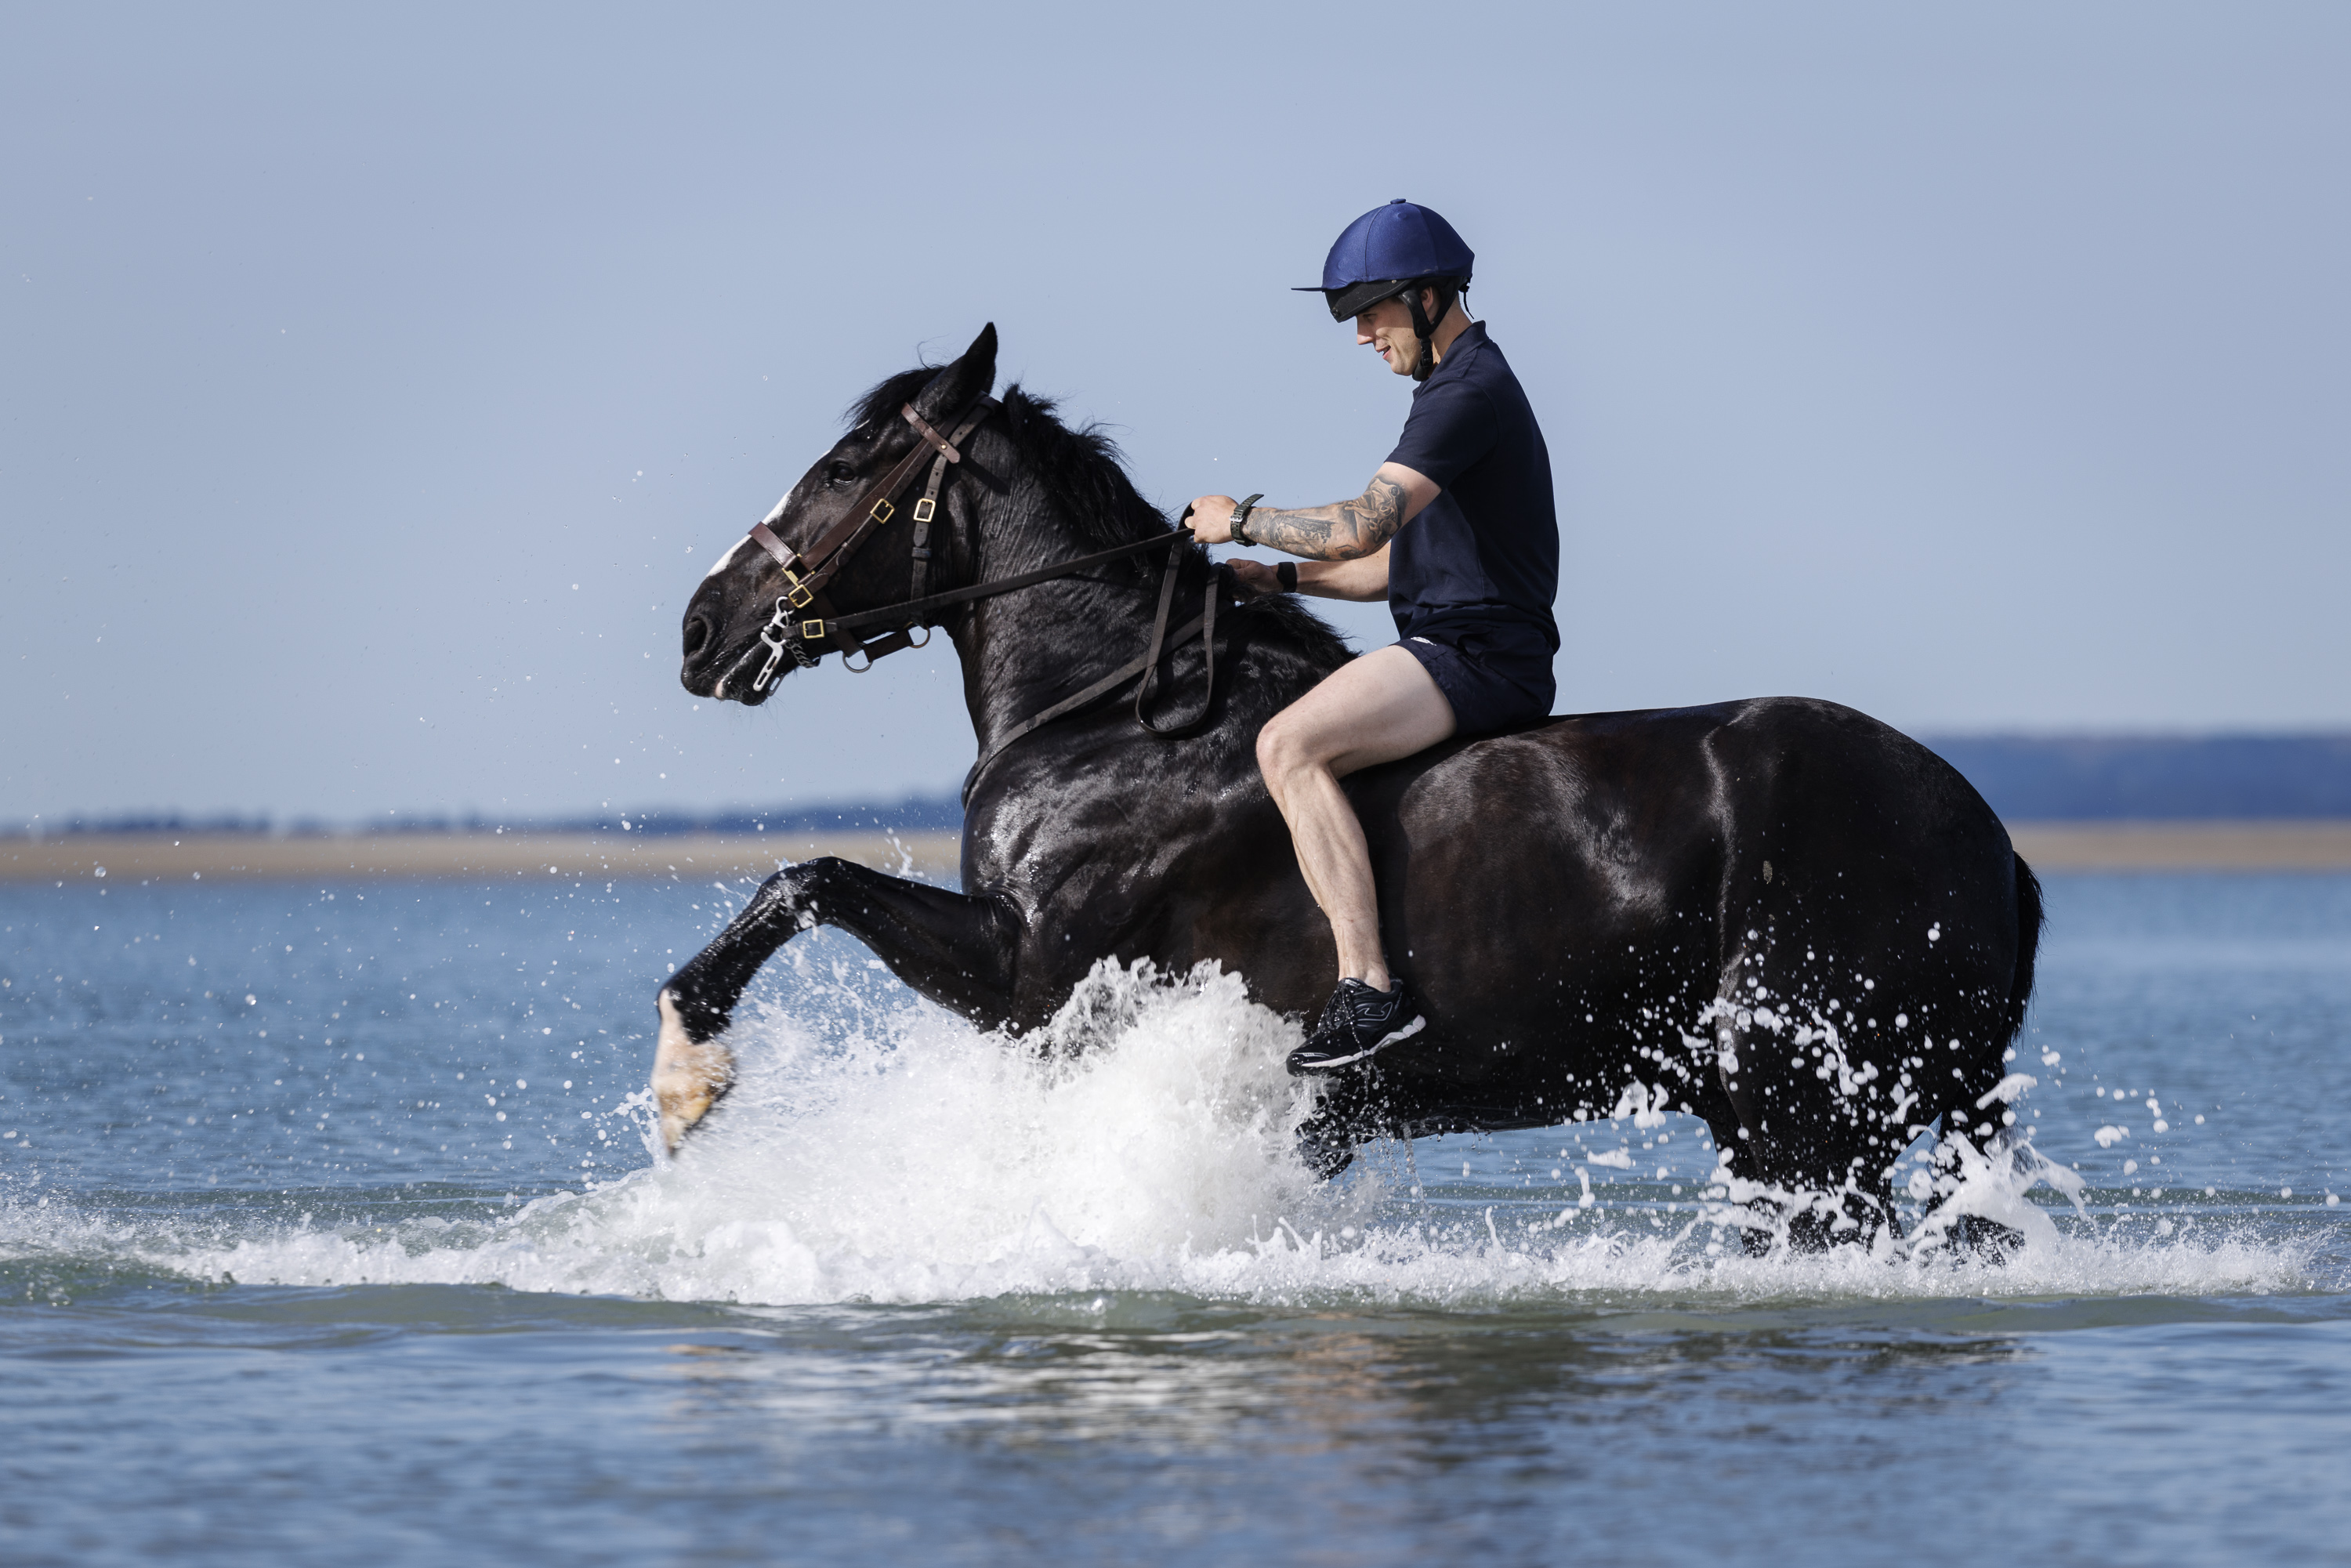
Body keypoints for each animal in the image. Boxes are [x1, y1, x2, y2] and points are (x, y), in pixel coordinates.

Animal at [659, 324, 2043, 1249]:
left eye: (848, 465)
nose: (701, 629)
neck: (1109, 711)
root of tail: (1989, 839)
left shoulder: (1027, 978)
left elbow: (807, 878)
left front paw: (688, 1072)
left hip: (1809, 1110)